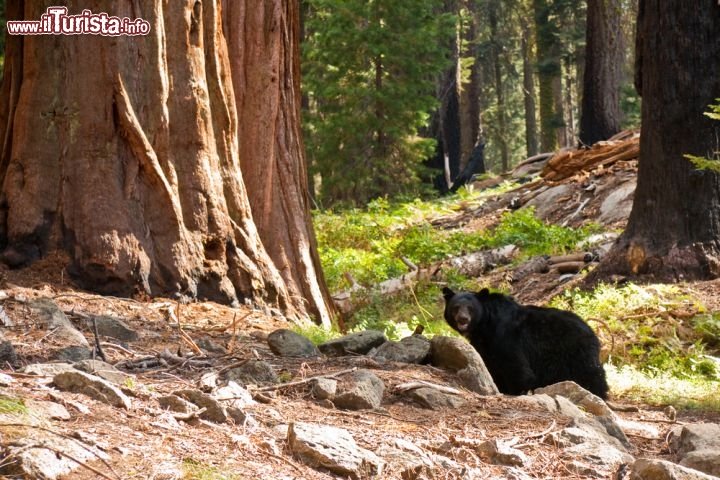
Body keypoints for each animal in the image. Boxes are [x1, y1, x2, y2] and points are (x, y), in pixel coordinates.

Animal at [442, 286, 604, 400]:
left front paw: (517, 391)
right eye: (456, 307)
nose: (463, 319)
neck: (484, 325)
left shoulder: (506, 336)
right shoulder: (486, 345)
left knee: (591, 375)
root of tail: (592, 332)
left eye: (471, 308)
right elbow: (491, 366)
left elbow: (516, 366)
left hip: (575, 352)